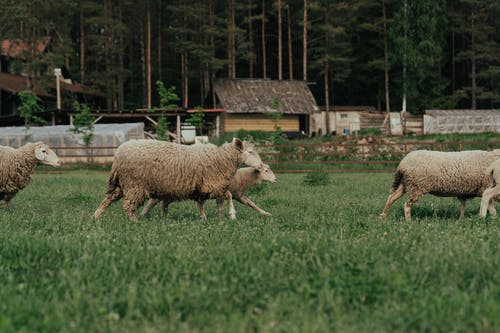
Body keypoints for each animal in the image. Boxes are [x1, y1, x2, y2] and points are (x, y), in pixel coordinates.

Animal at [142, 163, 278, 218]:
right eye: (266, 171)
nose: (275, 179)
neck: (242, 178)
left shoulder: (238, 196)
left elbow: (252, 204)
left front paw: (266, 214)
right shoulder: (223, 192)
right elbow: (228, 197)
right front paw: (232, 215)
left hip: (170, 196)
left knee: (162, 204)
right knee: (152, 203)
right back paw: (143, 216)